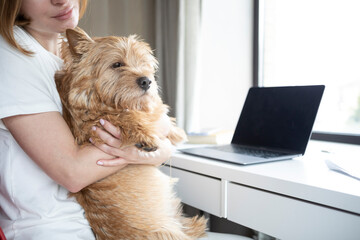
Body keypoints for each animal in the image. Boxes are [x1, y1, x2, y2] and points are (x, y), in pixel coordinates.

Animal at [53, 27, 205, 239]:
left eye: (143, 64)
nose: (147, 81)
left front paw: (176, 132)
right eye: (117, 64)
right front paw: (146, 136)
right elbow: (123, 115)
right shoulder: (92, 125)